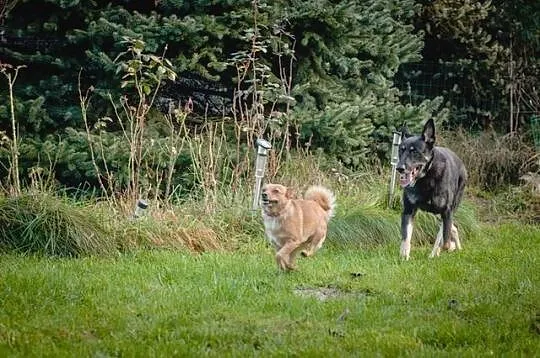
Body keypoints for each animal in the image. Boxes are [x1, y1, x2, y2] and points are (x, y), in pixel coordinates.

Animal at [396, 119, 468, 258]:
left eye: (414, 151)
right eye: (401, 150)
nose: (399, 168)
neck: (426, 177)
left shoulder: (446, 211)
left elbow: (445, 241)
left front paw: (445, 248)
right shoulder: (408, 210)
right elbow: (405, 238)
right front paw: (404, 256)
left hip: (450, 206)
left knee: (445, 231)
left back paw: (439, 252)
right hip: (438, 214)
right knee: (453, 227)